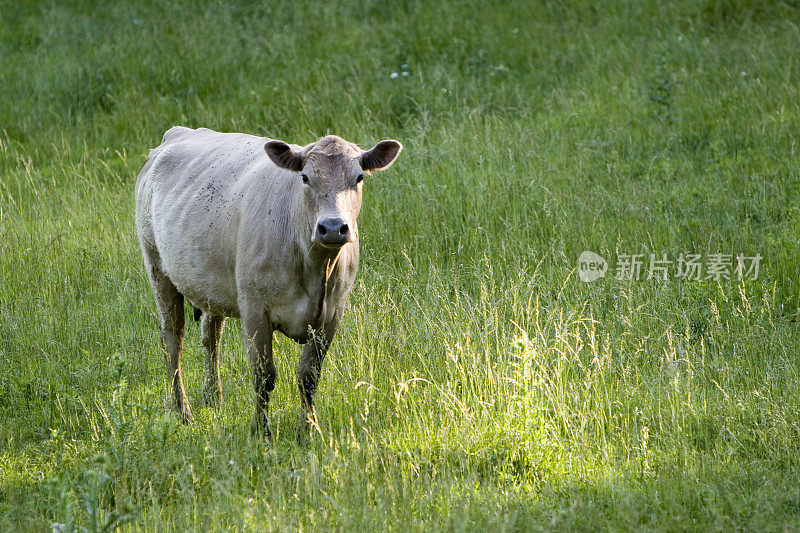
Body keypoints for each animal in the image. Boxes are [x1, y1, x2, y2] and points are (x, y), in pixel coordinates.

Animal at [135, 128, 406, 440]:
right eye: (305, 177)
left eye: (359, 177)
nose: (332, 227)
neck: (315, 269)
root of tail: (177, 133)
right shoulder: (255, 309)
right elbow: (264, 376)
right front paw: (261, 432)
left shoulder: (332, 314)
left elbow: (309, 376)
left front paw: (308, 430)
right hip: (157, 267)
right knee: (172, 339)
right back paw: (182, 411)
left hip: (211, 283)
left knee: (211, 336)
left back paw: (213, 397)